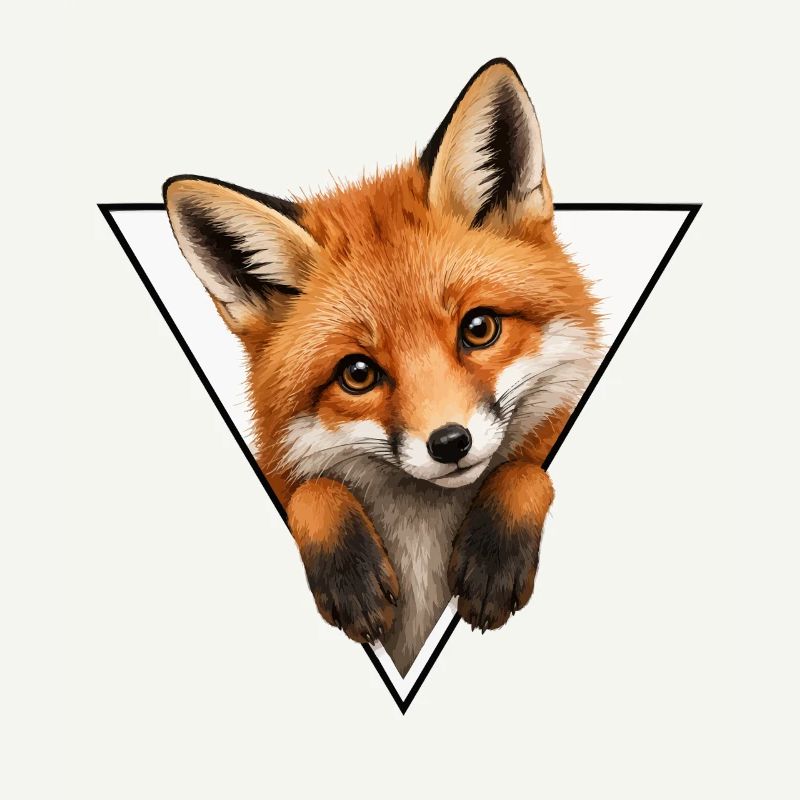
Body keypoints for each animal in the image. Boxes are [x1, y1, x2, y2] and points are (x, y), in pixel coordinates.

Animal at [163, 58, 601, 676]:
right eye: (358, 373)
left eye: (479, 328)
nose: (450, 443)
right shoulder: (283, 471)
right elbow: (311, 491)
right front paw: (349, 572)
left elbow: (527, 470)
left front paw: (494, 551)